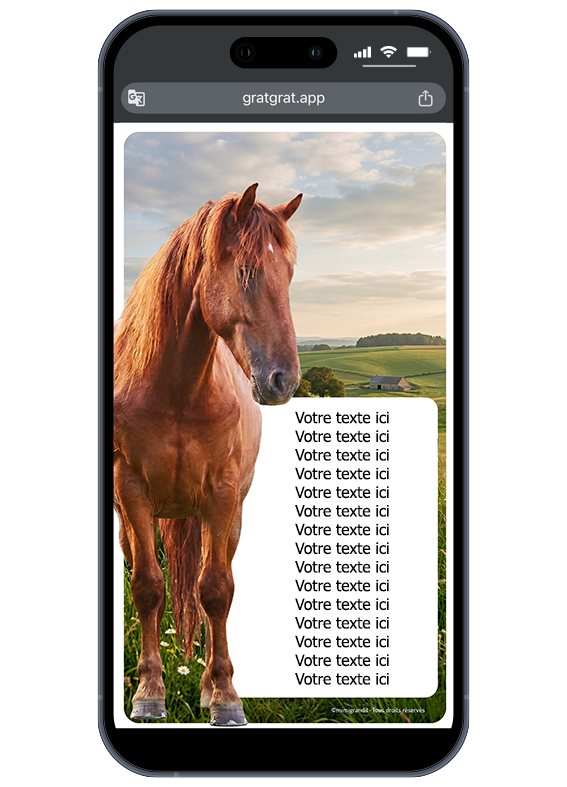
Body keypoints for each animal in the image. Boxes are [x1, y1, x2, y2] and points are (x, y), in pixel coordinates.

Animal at [114, 184, 302, 726]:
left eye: (288, 274)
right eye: (245, 272)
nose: (285, 381)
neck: (175, 392)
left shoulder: (220, 495)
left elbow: (216, 590)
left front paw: (223, 697)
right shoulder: (131, 489)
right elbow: (148, 587)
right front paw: (149, 692)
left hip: (227, 516)